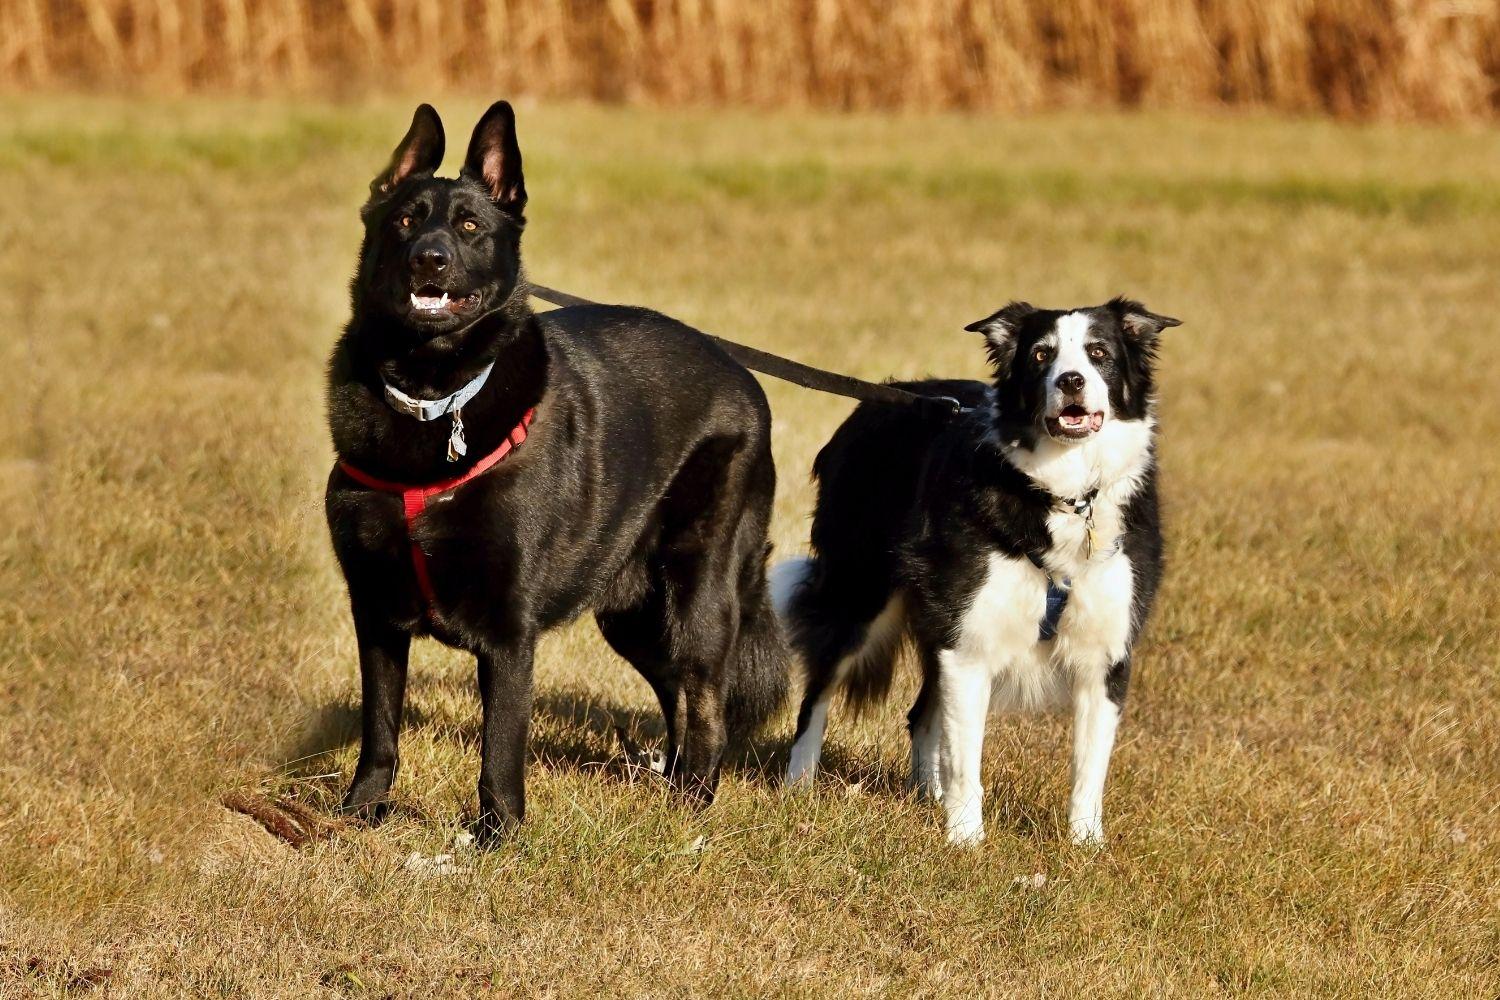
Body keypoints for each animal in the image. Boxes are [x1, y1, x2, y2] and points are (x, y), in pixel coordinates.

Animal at [324, 103, 792, 839]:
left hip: (697, 597)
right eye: (404, 219)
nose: (429, 258)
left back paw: (691, 806)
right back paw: (668, 786)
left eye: (469, 227)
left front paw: (499, 838)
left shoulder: (508, 636)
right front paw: (361, 813)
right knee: (675, 692)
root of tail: (742, 378)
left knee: (706, 699)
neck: (434, 397)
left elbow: (499, 748)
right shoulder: (375, 613)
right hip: (634, 613)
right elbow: (380, 728)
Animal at [780, 296, 1176, 845]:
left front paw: (1085, 846)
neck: (1066, 495)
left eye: (1099, 352)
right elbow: (966, 758)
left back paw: (926, 795)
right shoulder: (969, 644)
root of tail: (877, 402)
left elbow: (1088, 769)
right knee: (818, 691)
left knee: (920, 715)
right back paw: (800, 782)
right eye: (1040, 355)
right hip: (860, 594)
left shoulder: (1106, 653)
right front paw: (966, 839)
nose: (1071, 381)